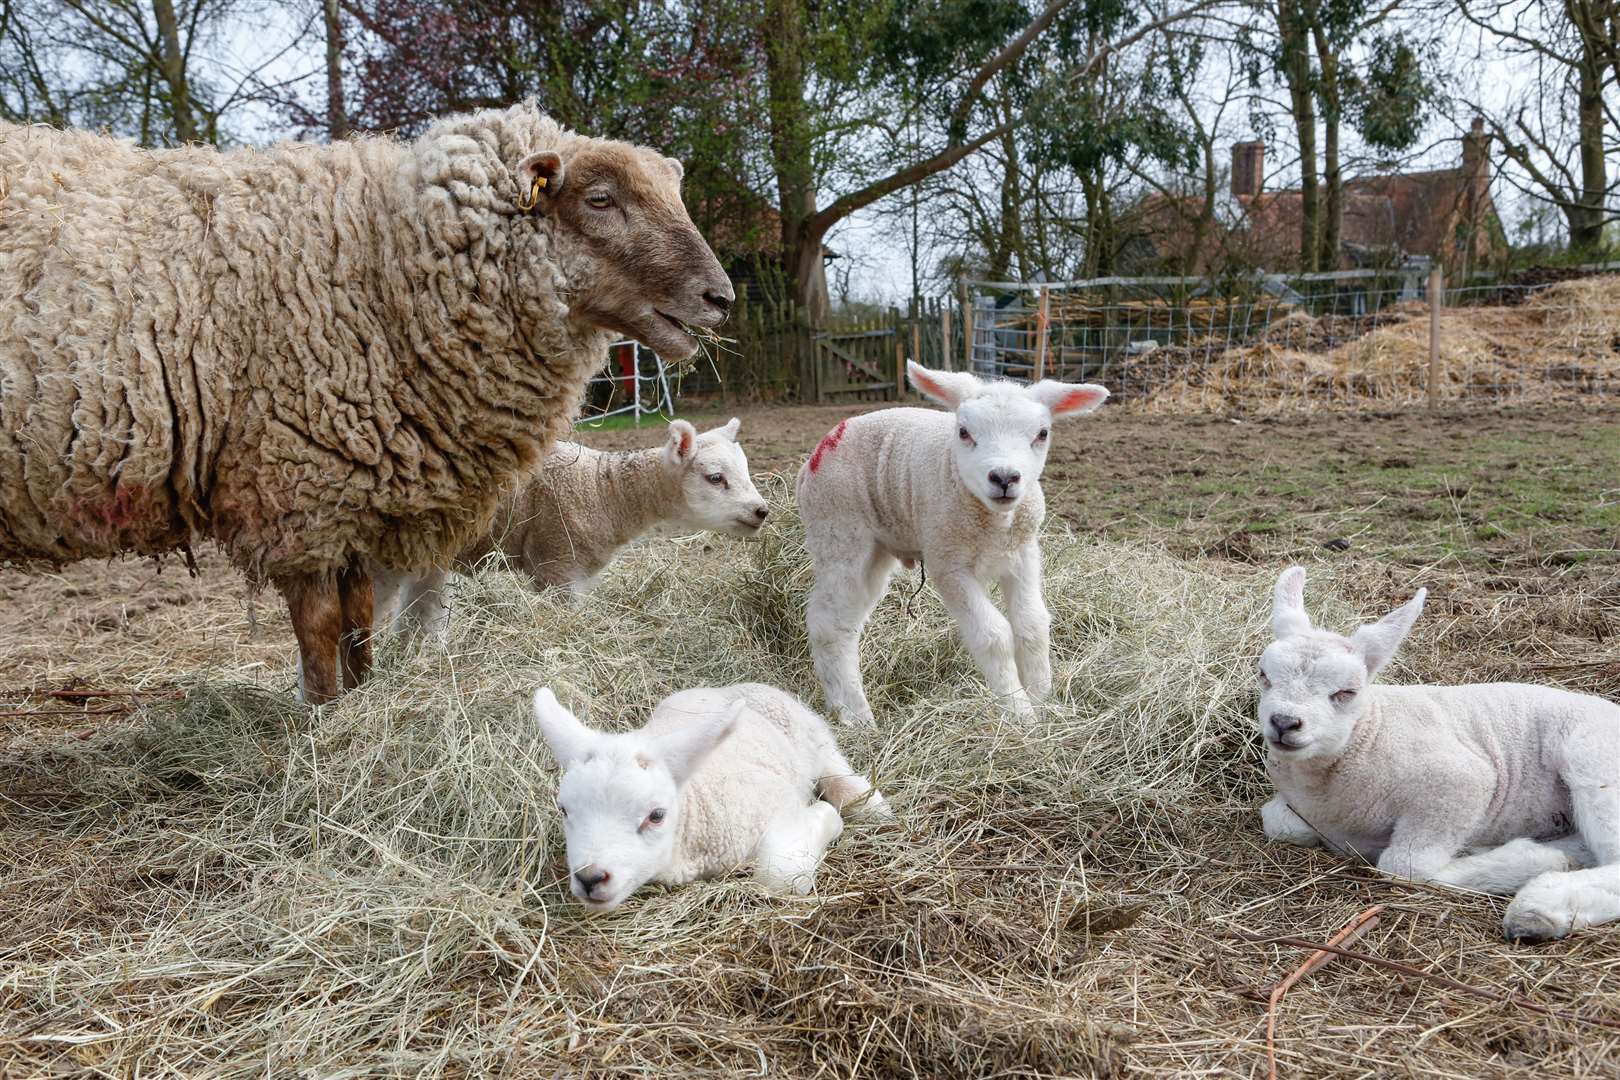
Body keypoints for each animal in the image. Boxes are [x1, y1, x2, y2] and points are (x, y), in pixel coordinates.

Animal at [528, 683, 887, 913]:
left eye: (656, 815)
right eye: (564, 810)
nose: (590, 878)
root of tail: (728, 687)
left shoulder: (778, 805)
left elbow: (781, 877)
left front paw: (826, 817)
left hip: (807, 731)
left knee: (831, 763)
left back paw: (867, 803)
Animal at [800, 362, 1114, 725]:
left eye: (1042, 434)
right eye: (964, 432)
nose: (1004, 478)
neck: (993, 524)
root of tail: (824, 444)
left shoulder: (1023, 555)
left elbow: (1033, 625)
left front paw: (1044, 701)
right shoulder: (948, 564)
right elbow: (994, 635)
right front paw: (1020, 713)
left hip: (876, 548)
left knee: (847, 624)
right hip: (839, 531)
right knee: (827, 624)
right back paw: (854, 716)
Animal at [1263, 569, 1620, 939]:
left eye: (1346, 692)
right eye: (1264, 677)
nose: (1284, 722)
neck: (1369, 733)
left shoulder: (1460, 784)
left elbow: (1405, 866)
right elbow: (1276, 821)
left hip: (1594, 760)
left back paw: (1541, 905)